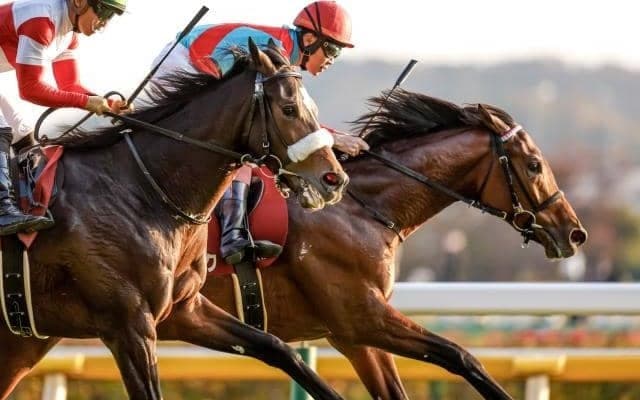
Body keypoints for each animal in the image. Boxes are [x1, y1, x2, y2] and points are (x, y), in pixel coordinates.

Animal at [0, 41, 348, 400]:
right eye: (289, 108)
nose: (334, 179)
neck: (142, 189)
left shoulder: (185, 310)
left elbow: (280, 349)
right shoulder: (129, 325)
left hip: (18, 341)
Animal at [189, 89, 588, 399]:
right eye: (534, 165)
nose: (574, 233)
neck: (362, 210)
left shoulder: (354, 336)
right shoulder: (364, 318)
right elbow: (460, 355)